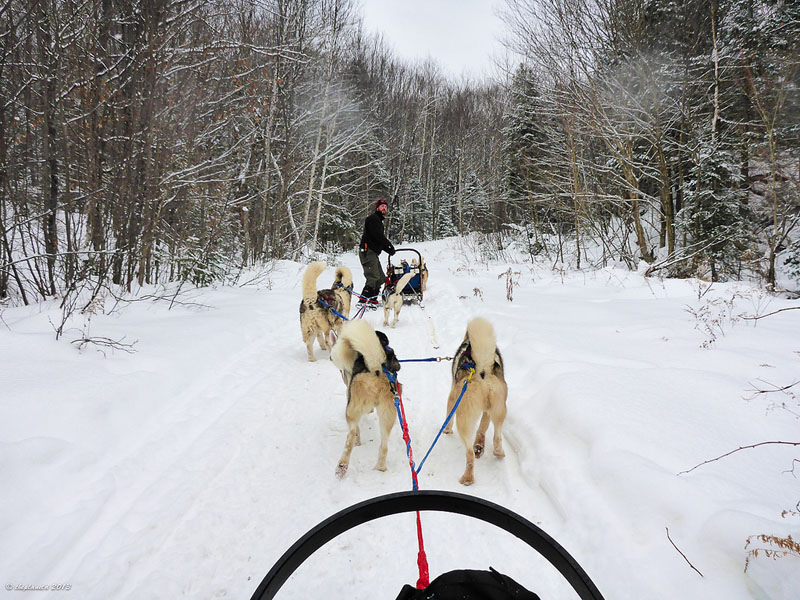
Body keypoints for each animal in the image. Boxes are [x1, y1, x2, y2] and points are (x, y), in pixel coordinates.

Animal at [332, 318, 404, 478]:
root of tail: (377, 368)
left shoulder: (348, 389)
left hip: (351, 409)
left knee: (351, 435)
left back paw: (342, 465)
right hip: (388, 414)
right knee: (384, 446)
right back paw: (380, 467)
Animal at [444, 316, 506, 486]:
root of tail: (482, 370)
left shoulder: (453, 396)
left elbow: (448, 416)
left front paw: (446, 429)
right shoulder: (486, 410)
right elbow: (483, 428)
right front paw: (480, 444)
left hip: (464, 419)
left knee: (469, 454)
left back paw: (467, 478)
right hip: (499, 409)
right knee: (496, 435)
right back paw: (495, 451)